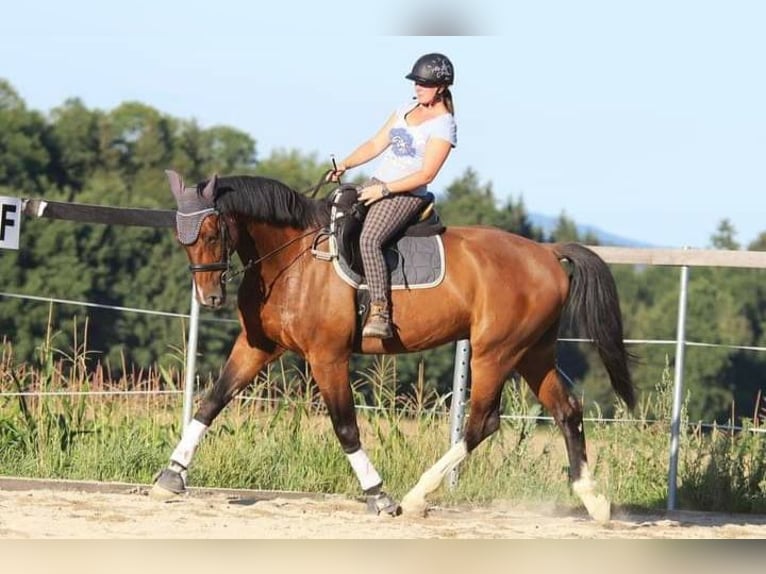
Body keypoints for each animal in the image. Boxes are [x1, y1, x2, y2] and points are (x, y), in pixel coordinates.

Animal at [150, 169, 636, 524]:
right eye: (181, 236)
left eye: (212, 232)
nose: (210, 297)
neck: (291, 261)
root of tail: (546, 253)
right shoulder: (258, 346)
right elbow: (212, 402)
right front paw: (170, 476)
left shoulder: (327, 357)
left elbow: (346, 427)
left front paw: (378, 496)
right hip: (532, 351)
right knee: (566, 409)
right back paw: (594, 501)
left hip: (495, 352)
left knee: (483, 422)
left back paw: (418, 495)